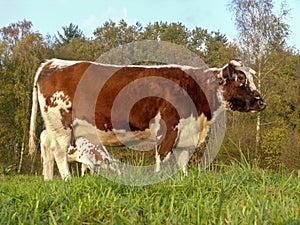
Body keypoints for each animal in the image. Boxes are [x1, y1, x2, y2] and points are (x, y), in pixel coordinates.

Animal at [28, 58, 268, 181]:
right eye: (240, 80)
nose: (261, 102)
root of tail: (53, 62)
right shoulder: (168, 127)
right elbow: (163, 157)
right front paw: (160, 179)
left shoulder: (186, 133)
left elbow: (182, 161)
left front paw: (182, 179)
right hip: (60, 124)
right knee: (59, 152)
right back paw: (66, 179)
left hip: (53, 127)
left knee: (48, 149)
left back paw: (49, 180)